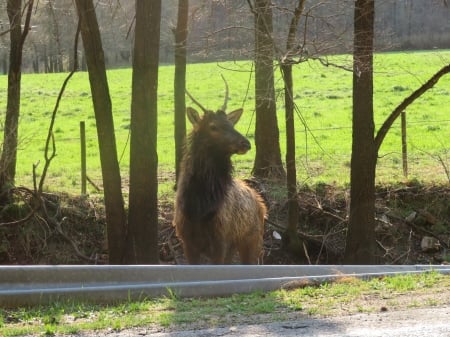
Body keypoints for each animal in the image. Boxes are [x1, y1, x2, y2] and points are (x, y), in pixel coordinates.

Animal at [174, 83, 268, 262]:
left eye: (232, 125)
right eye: (213, 126)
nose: (245, 143)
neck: (200, 207)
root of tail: (260, 202)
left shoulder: (221, 238)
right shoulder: (186, 240)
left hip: (253, 239)